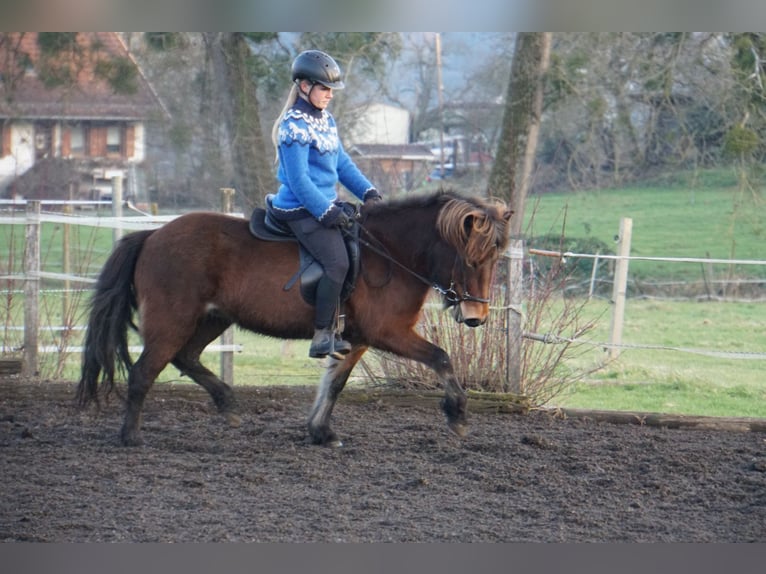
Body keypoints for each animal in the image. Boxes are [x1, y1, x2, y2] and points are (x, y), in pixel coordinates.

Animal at [75, 191, 512, 448]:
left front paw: (320, 431)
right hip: (172, 322)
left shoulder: (357, 337)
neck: (389, 253)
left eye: (495, 259)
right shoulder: (388, 332)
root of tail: (152, 235)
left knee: (187, 358)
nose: (476, 317)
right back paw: (131, 437)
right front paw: (457, 414)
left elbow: (334, 384)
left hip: (211, 319)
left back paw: (227, 403)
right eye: (470, 259)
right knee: (144, 373)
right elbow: (441, 357)